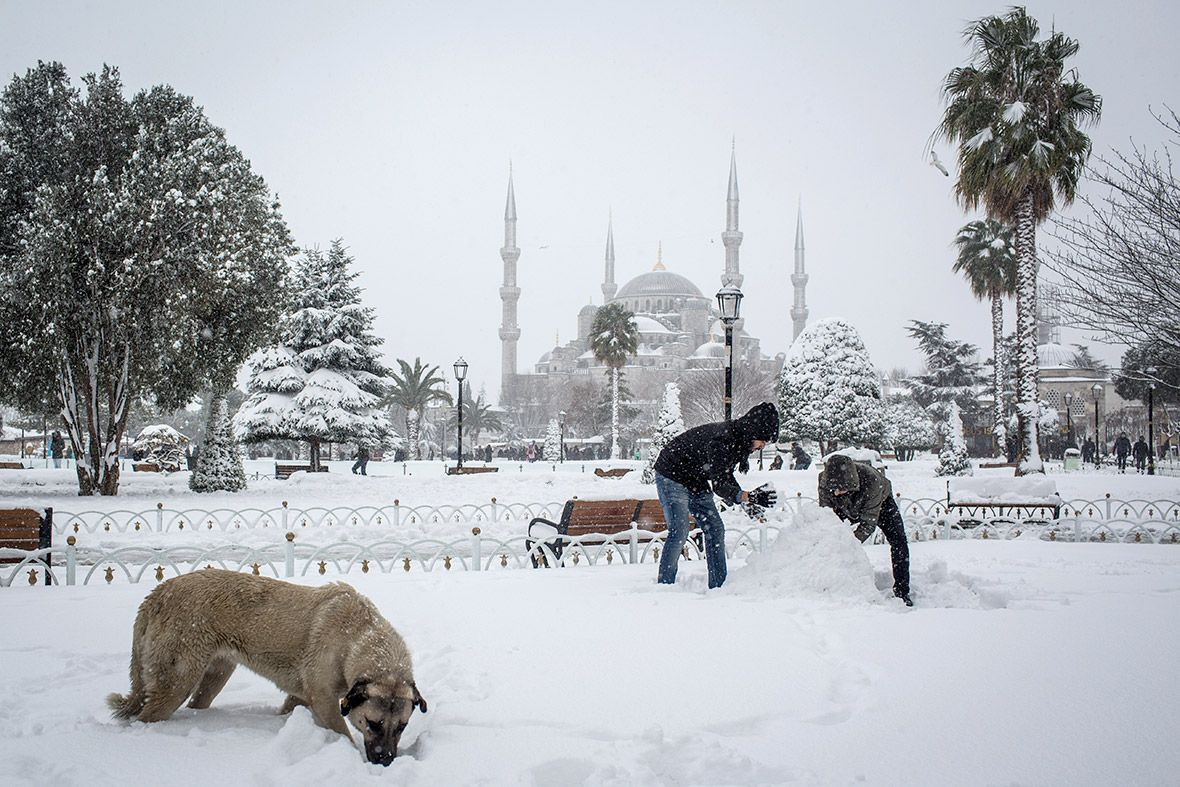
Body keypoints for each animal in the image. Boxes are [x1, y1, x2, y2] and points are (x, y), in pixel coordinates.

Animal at [107, 568, 424, 764]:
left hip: (216, 674)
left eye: (402, 727)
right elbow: (342, 733)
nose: (386, 761)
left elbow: (289, 707)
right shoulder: (323, 699)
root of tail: (158, 593)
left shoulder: (302, 695)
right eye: (372, 723)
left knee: (197, 703)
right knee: (148, 714)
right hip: (178, 680)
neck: (359, 637)